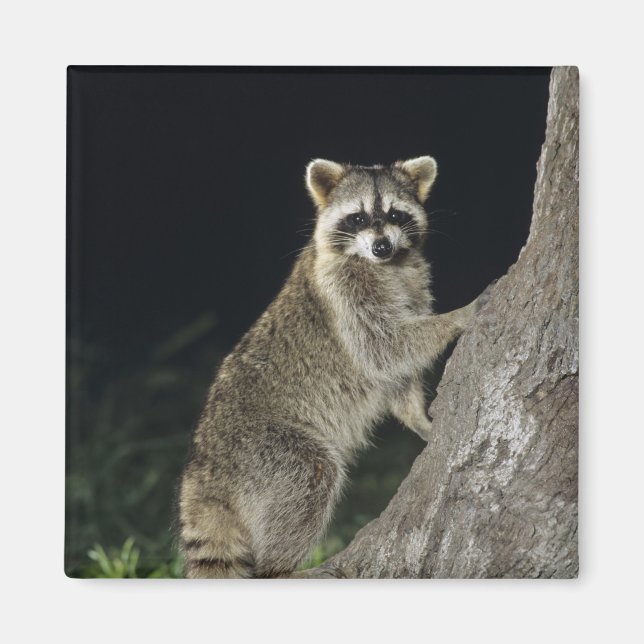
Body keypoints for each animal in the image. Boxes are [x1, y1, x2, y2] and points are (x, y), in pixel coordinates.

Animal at [178, 156, 486, 578]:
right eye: (357, 218)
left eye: (395, 214)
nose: (381, 246)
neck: (387, 266)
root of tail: (203, 469)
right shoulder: (344, 296)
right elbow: (385, 348)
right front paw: (458, 316)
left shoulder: (413, 285)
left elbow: (395, 372)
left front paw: (417, 416)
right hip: (266, 449)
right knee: (311, 475)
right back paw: (280, 567)